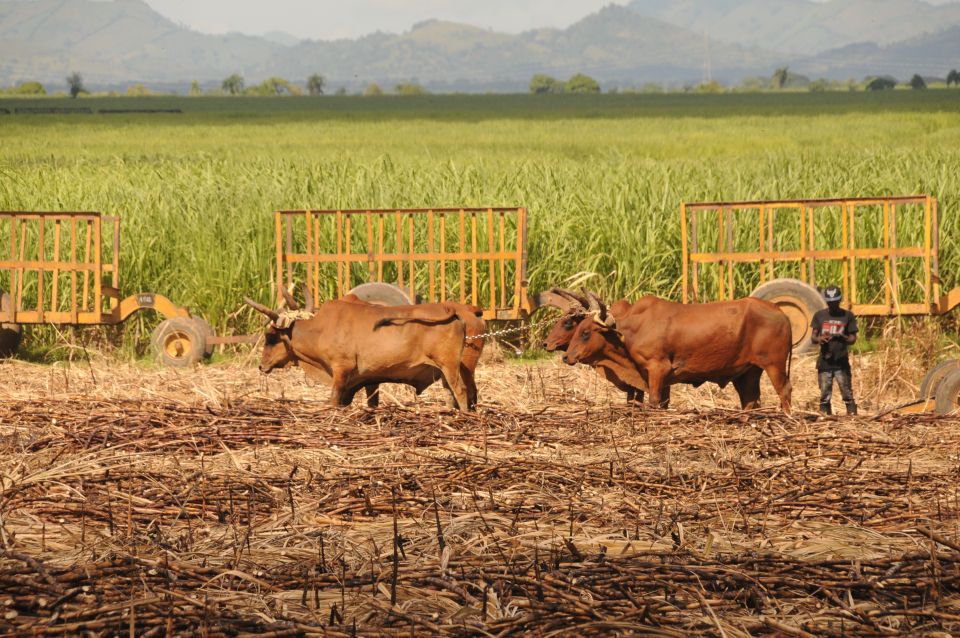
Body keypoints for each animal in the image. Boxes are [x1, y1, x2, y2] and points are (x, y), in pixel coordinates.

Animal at [564, 296, 796, 416]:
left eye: (585, 333)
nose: (566, 357)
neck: (632, 330)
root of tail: (780, 312)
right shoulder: (662, 378)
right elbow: (663, 402)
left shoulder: (657, 369)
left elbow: (654, 401)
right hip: (748, 372)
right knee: (751, 399)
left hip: (774, 365)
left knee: (784, 390)